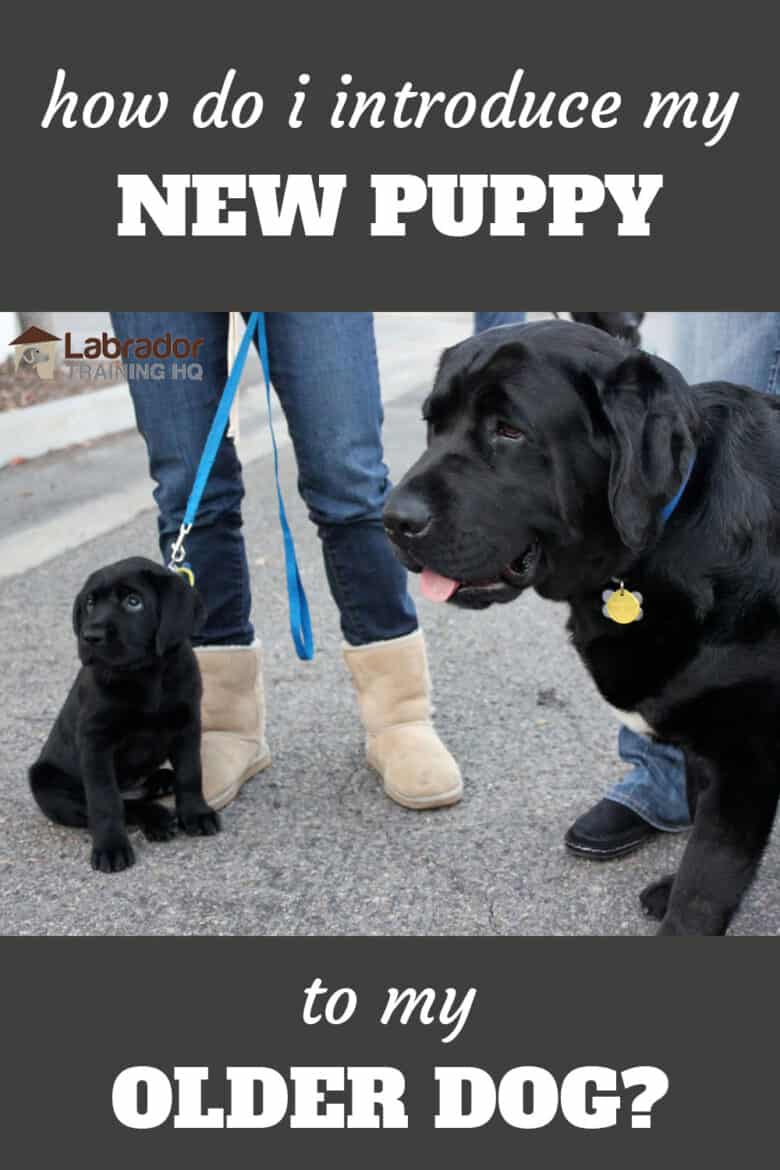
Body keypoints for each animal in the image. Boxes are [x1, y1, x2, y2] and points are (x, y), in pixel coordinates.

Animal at [30, 554, 219, 870]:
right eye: (90, 603)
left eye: (134, 602)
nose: (90, 636)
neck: (145, 674)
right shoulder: (95, 742)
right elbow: (105, 801)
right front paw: (110, 847)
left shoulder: (188, 725)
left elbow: (191, 773)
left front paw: (195, 813)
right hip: (45, 781)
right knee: (116, 804)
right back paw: (156, 818)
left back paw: (161, 784)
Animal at [388, 318, 780, 931]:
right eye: (433, 423)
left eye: (509, 431)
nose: (392, 520)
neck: (664, 532)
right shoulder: (704, 746)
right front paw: (670, 888)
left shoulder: (745, 760)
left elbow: (705, 883)